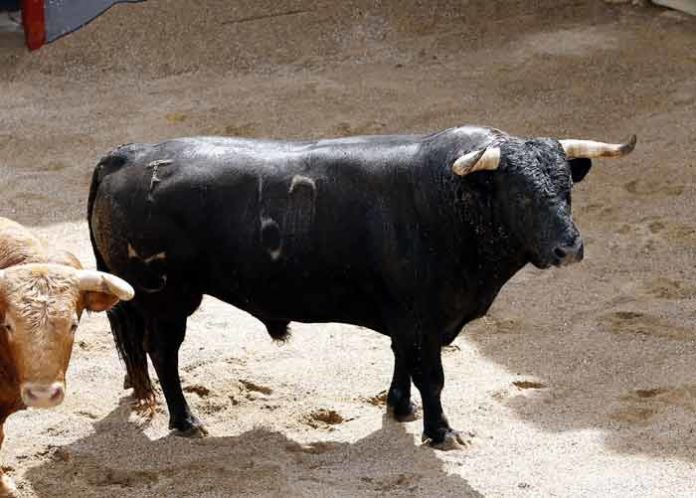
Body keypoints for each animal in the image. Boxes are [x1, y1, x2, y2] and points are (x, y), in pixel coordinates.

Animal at [87, 125, 636, 448]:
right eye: (520, 197)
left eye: (566, 189)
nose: (570, 249)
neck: (454, 202)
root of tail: (126, 155)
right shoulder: (424, 318)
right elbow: (432, 376)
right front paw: (441, 432)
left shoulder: (408, 318)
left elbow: (402, 361)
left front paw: (401, 409)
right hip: (167, 298)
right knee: (163, 352)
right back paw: (186, 422)